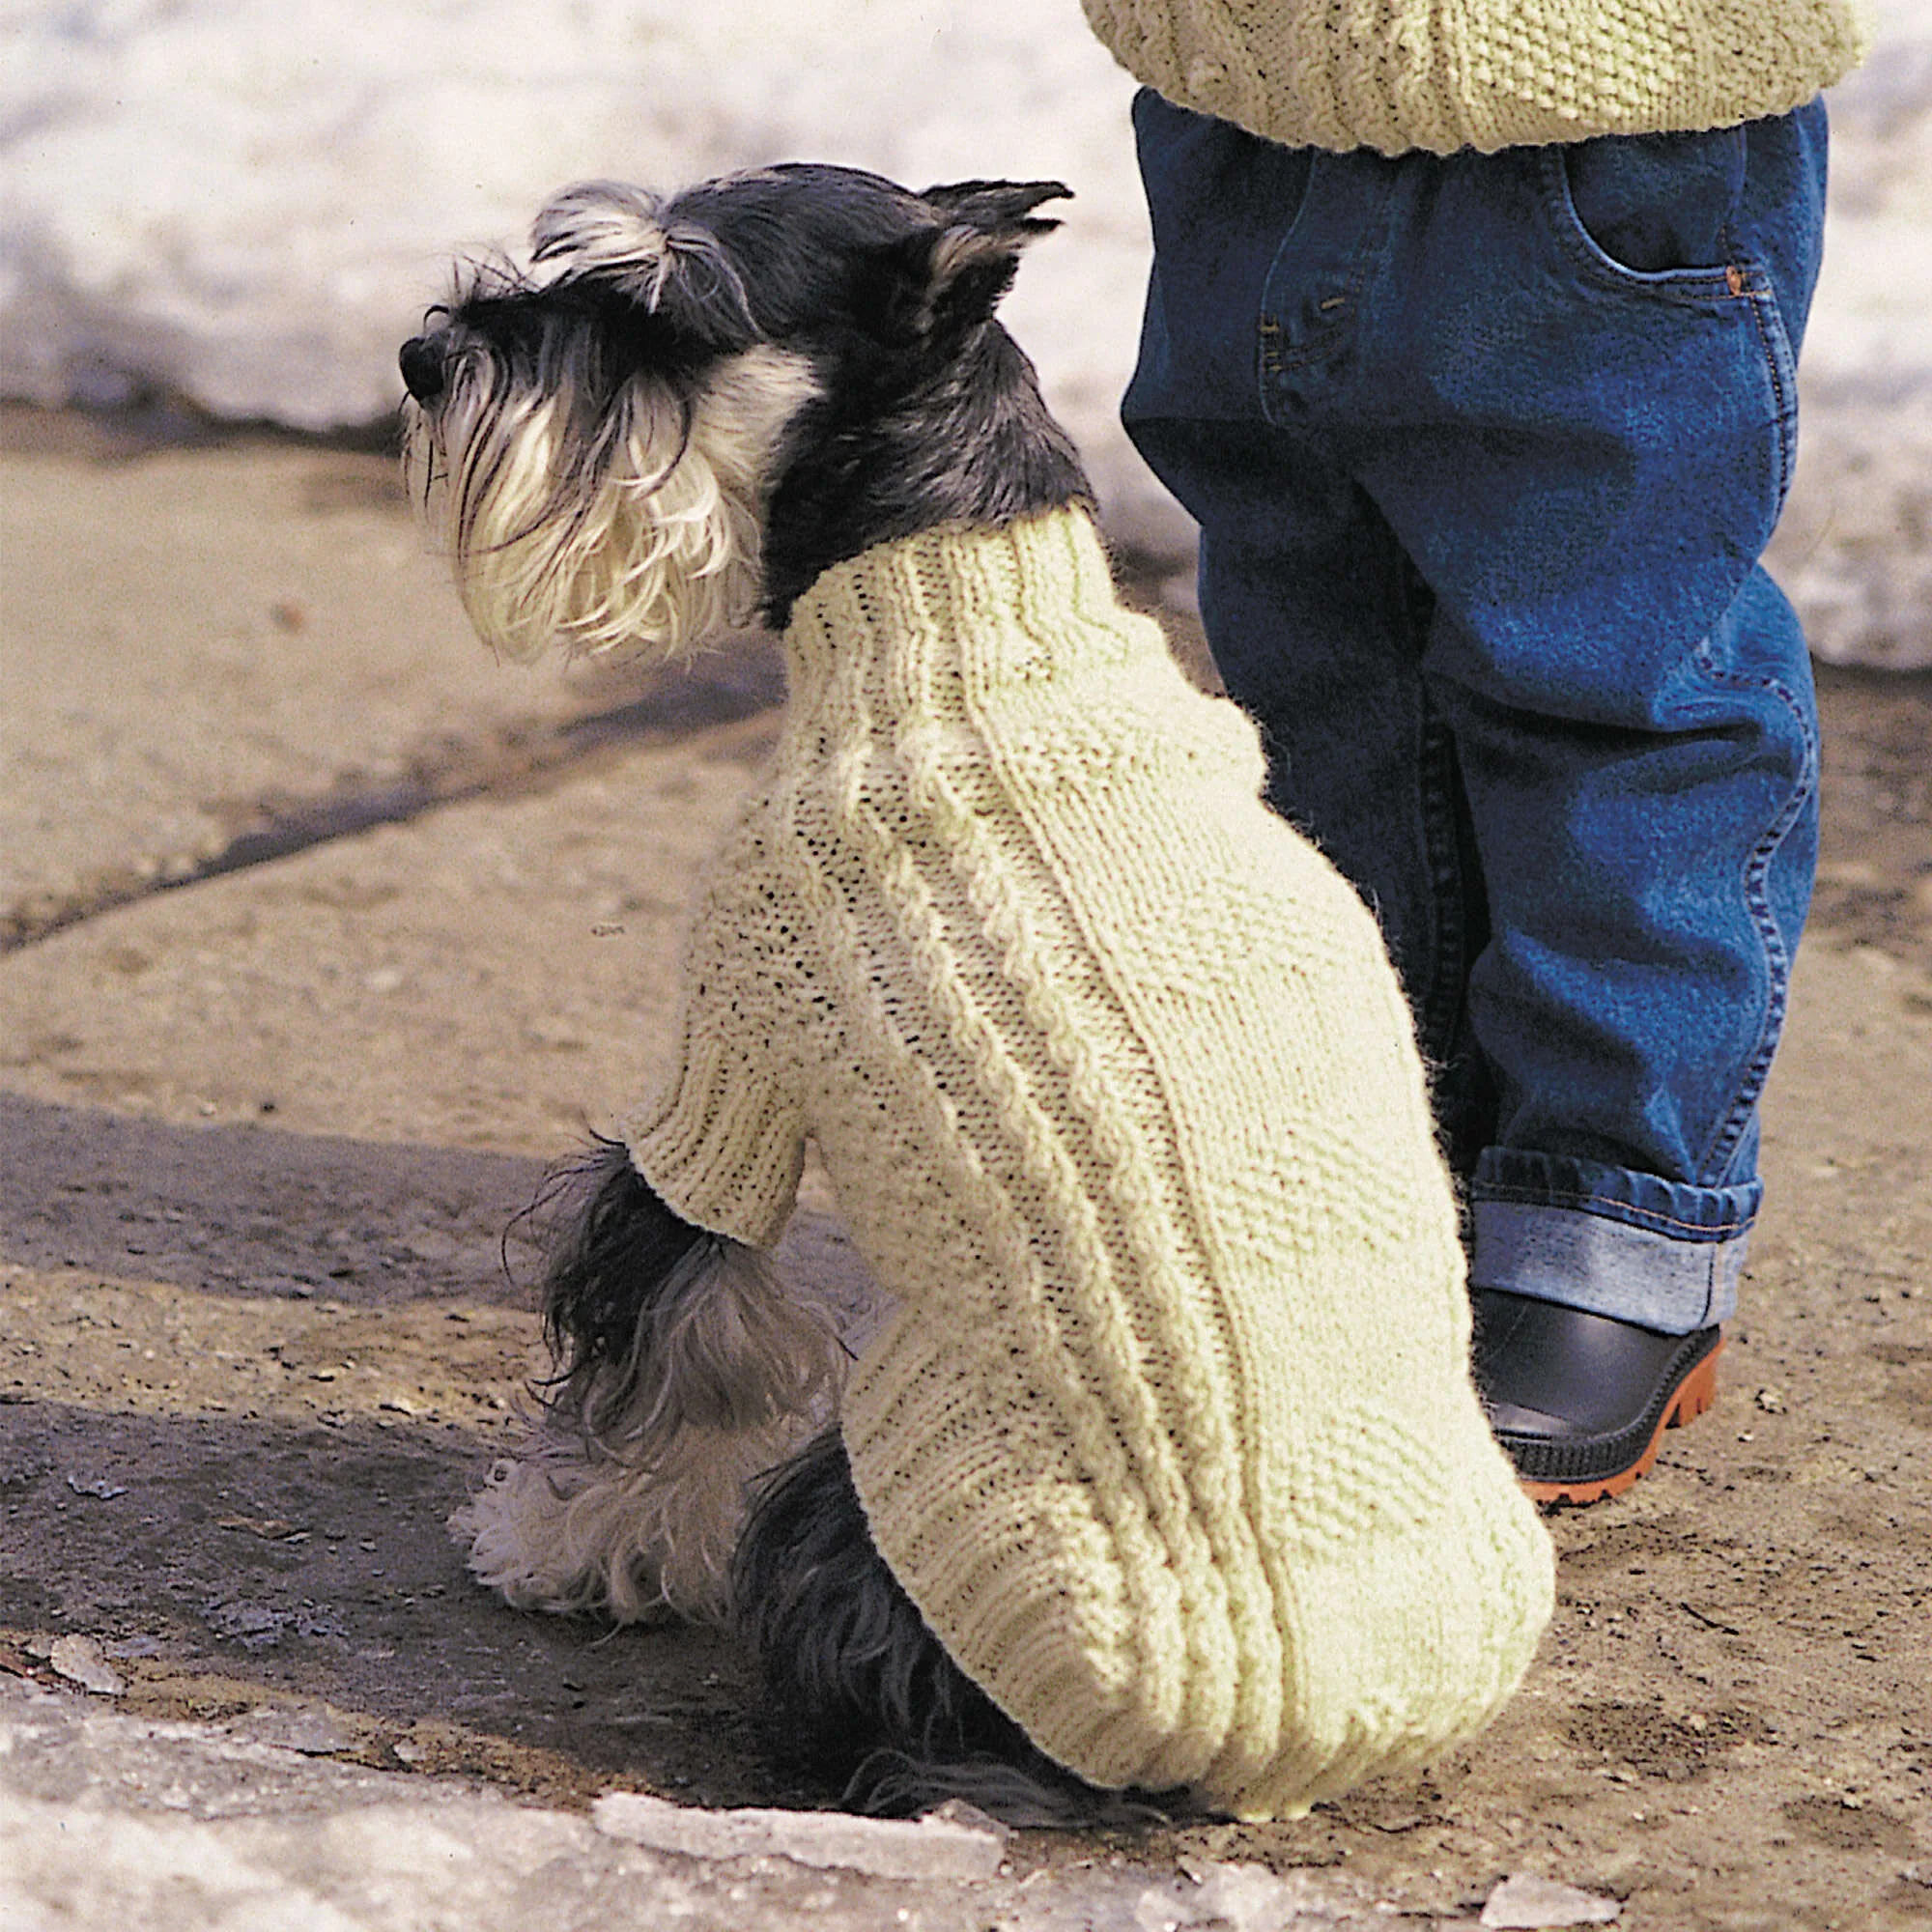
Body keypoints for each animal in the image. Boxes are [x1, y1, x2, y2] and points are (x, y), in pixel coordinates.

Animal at [400, 166, 1561, 1824]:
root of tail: (1238, 1745)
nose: (426, 359)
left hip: (889, 1472)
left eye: (663, 312)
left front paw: (568, 1547)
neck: (961, 611)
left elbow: (675, 1350)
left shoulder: (725, 1075)